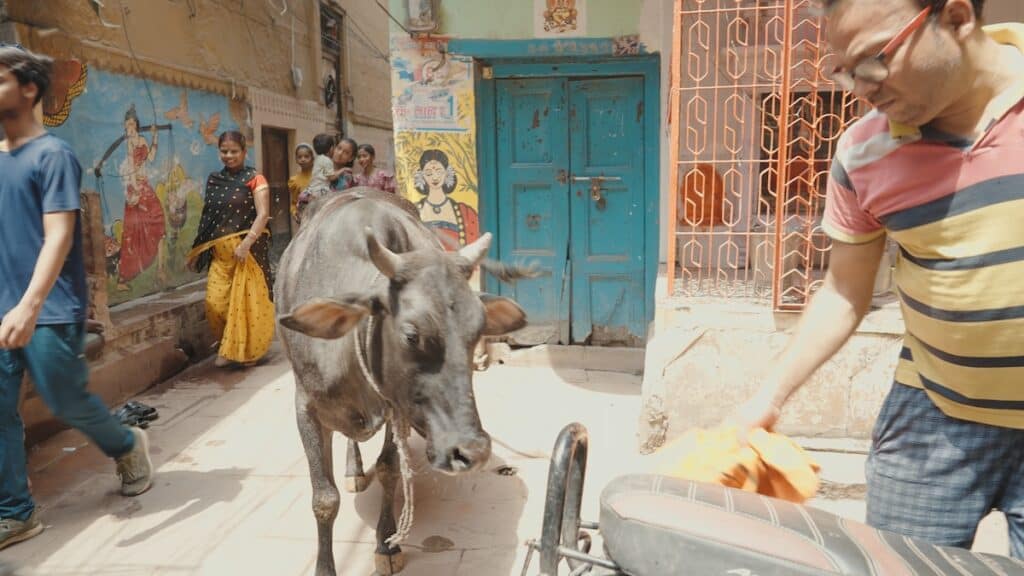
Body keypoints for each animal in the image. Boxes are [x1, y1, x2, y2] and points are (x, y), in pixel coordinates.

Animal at [274, 189, 528, 573]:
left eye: (477, 332)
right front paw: (325, 567)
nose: (472, 451)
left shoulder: (399, 408)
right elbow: (325, 498)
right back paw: (353, 470)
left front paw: (386, 544)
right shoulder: (306, 408)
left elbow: (389, 470)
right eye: (411, 335)